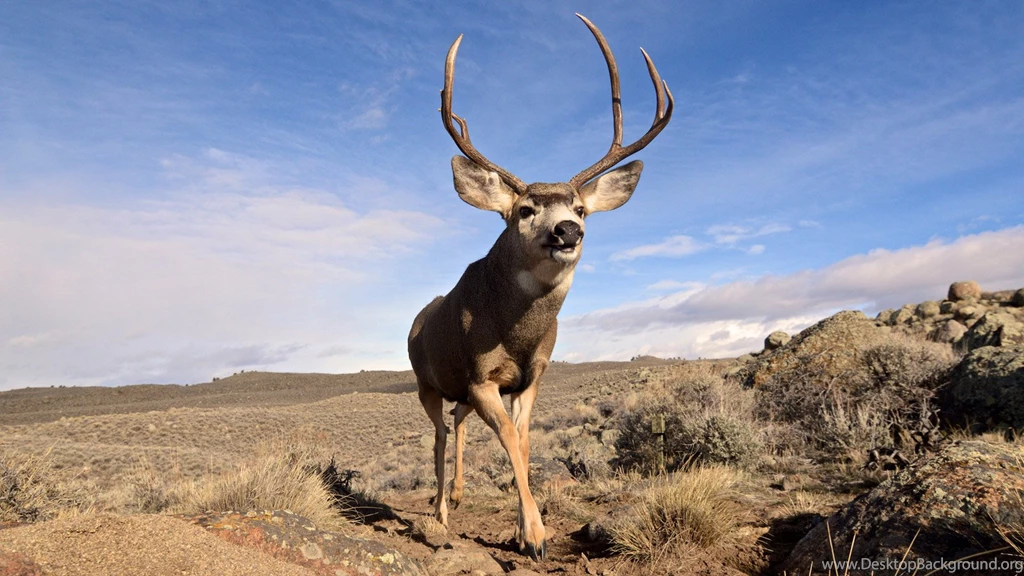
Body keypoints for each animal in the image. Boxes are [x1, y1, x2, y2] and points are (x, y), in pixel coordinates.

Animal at [407, 14, 673, 561]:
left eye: (581, 208)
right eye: (525, 209)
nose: (568, 231)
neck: (517, 333)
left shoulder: (530, 377)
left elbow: (525, 443)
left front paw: (519, 528)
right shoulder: (482, 376)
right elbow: (509, 439)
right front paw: (534, 536)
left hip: (457, 390)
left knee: (457, 424)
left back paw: (458, 496)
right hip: (427, 382)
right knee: (439, 434)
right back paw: (440, 513)